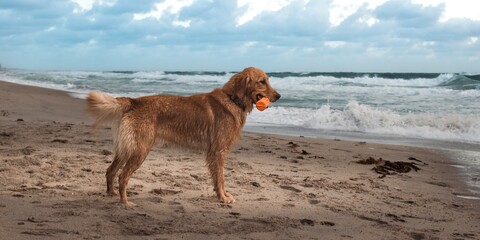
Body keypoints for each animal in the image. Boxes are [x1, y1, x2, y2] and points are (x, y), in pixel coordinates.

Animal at [88, 67, 280, 206]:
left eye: (268, 80)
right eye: (262, 81)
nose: (279, 96)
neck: (233, 98)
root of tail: (134, 101)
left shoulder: (214, 154)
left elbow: (217, 179)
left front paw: (221, 196)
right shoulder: (218, 152)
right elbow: (221, 179)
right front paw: (224, 198)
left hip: (126, 149)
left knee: (110, 170)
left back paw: (111, 194)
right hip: (139, 151)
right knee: (122, 176)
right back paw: (126, 203)